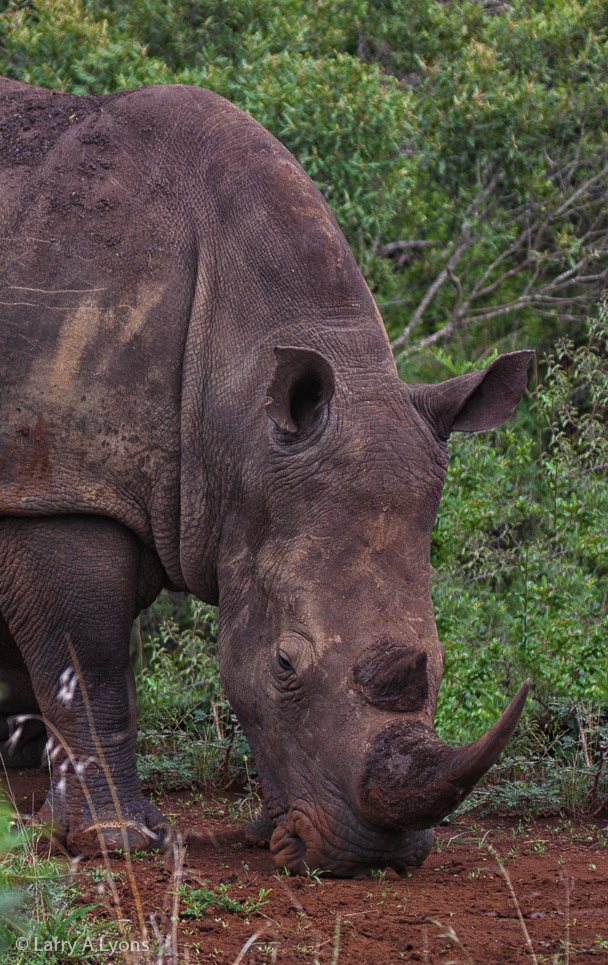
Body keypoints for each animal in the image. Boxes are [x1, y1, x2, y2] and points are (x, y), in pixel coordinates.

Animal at [0, 77, 533, 874]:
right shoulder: (61, 487)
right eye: (284, 662)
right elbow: (87, 661)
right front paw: (117, 842)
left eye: (441, 660)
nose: (372, 855)